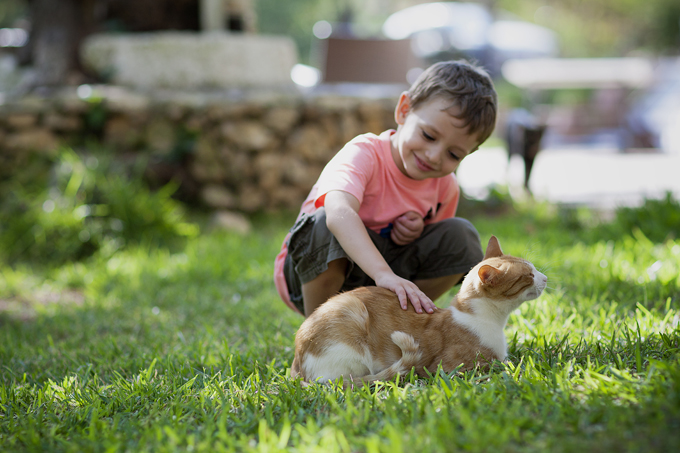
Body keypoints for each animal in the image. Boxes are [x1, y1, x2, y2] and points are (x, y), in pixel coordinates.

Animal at [290, 235, 548, 384]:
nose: (545, 278)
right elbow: (501, 365)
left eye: (534, 269)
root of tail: (296, 363)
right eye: (528, 276)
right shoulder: (451, 368)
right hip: (351, 316)